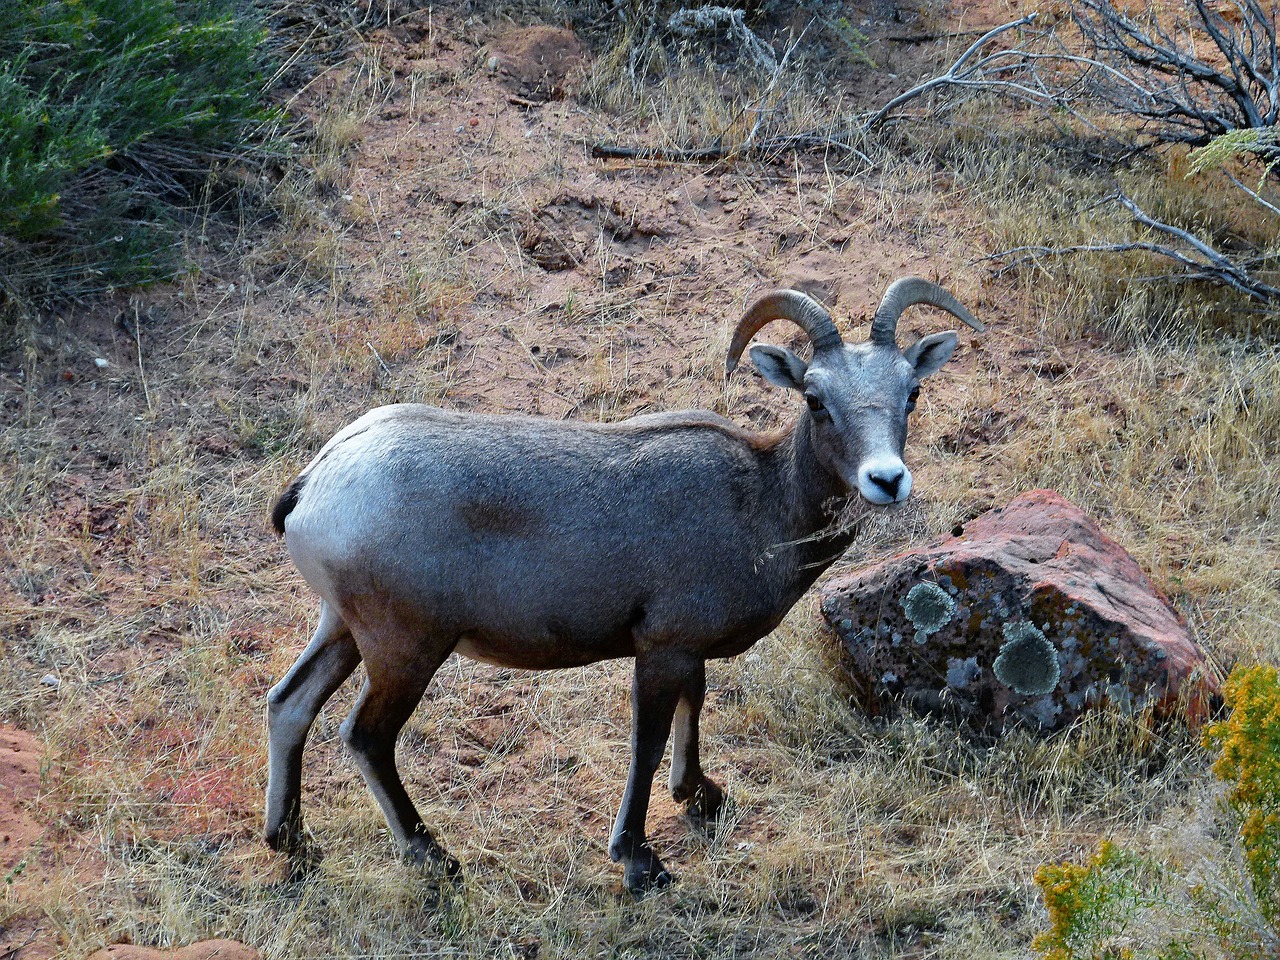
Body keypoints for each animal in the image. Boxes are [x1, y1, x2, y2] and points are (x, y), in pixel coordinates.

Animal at [267, 276, 977, 896]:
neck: (761, 503)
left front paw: (701, 797)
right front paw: (640, 863)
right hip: (405, 650)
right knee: (366, 737)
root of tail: (316, 482)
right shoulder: (659, 651)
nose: (886, 480)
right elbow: (649, 743)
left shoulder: (685, 652)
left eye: (911, 393)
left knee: (288, 705)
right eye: (814, 399)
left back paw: (291, 843)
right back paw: (433, 858)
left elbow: (693, 709)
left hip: (343, 631)